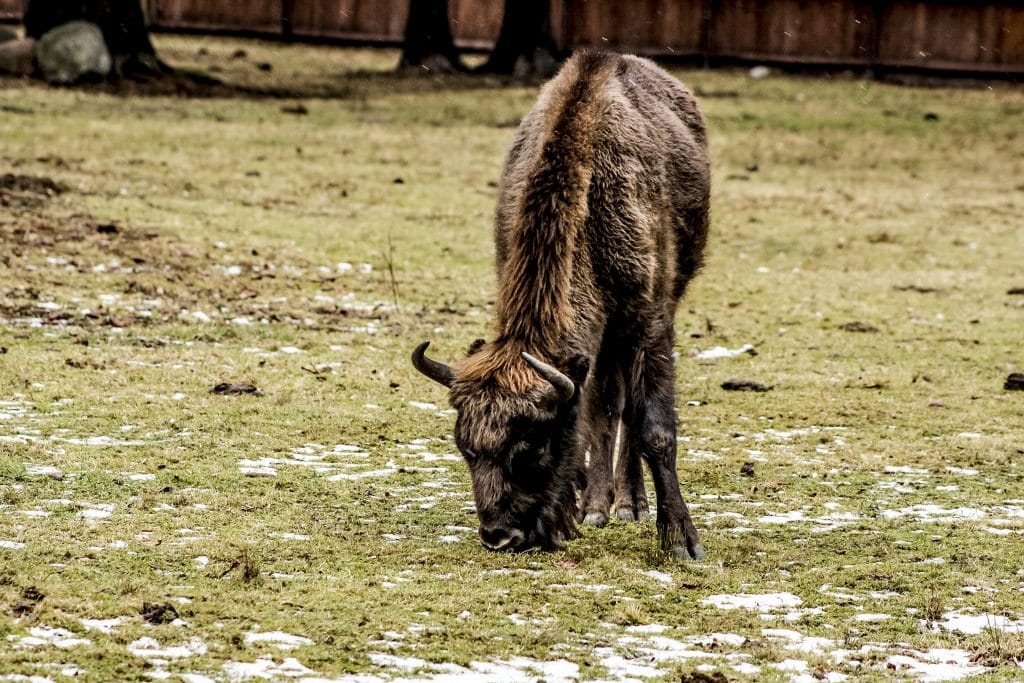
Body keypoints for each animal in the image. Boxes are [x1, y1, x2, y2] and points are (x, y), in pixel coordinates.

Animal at [411, 49, 708, 561]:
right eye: (465, 447)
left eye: (532, 445)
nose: (500, 536)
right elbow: (594, 413)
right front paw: (585, 508)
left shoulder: (650, 322)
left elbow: (654, 428)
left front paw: (681, 541)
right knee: (608, 405)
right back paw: (602, 506)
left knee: (627, 410)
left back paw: (630, 504)